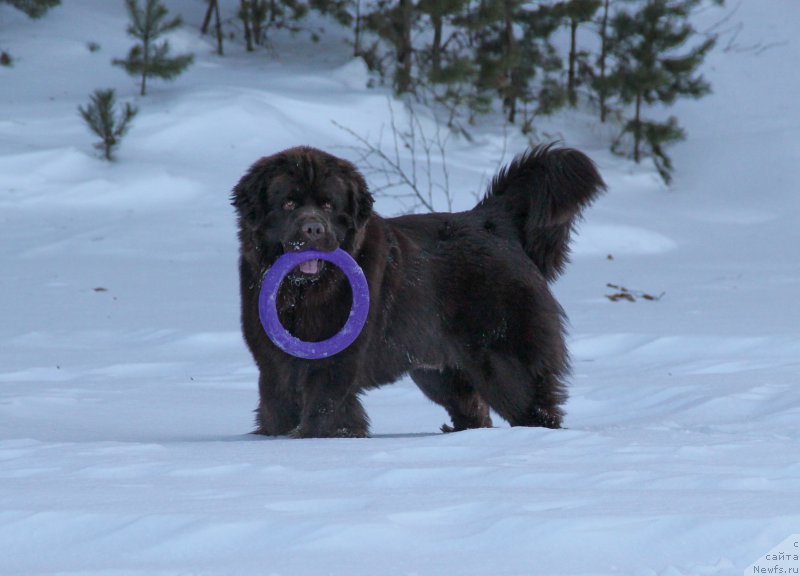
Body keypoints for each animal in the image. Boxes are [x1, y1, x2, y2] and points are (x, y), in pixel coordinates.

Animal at [228, 144, 604, 436]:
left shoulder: (335, 364)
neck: (304, 294)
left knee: (532, 405)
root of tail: (491, 222)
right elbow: (277, 405)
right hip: (437, 370)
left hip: (504, 358)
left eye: (328, 206)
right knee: (472, 409)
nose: (313, 228)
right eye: (289, 204)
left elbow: (324, 407)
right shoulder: (273, 363)